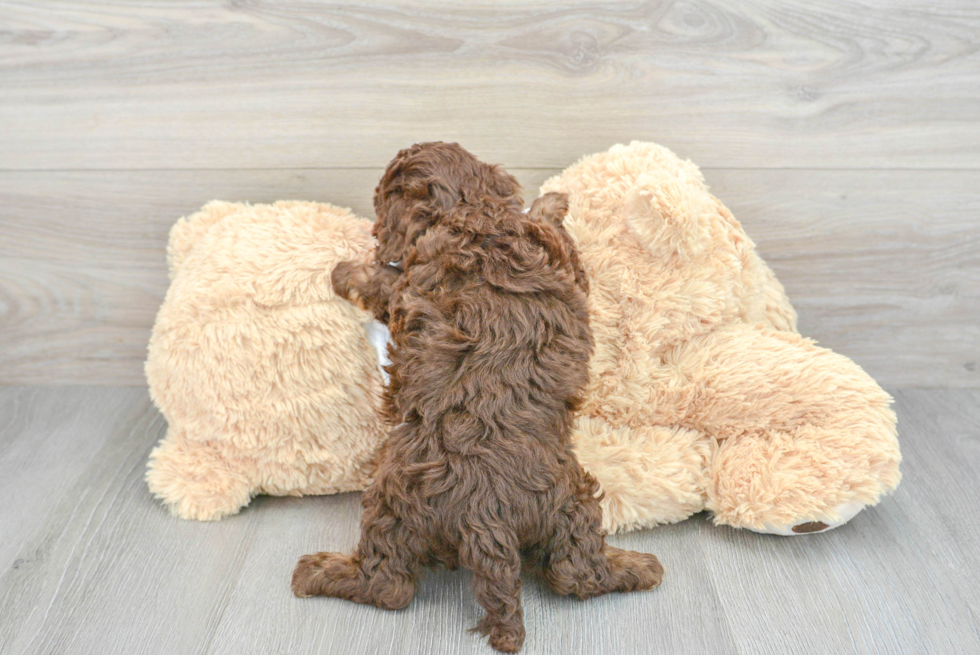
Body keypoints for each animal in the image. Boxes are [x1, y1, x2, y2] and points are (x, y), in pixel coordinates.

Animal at [288, 142, 664, 652]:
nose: (374, 232)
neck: (473, 209)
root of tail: (486, 516)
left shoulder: (408, 279)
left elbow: (381, 281)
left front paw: (344, 269)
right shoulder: (561, 260)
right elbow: (552, 230)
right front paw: (553, 200)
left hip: (392, 498)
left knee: (388, 585)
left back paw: (318, 572)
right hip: (570, 499)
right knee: (572, 573)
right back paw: (638, 567)